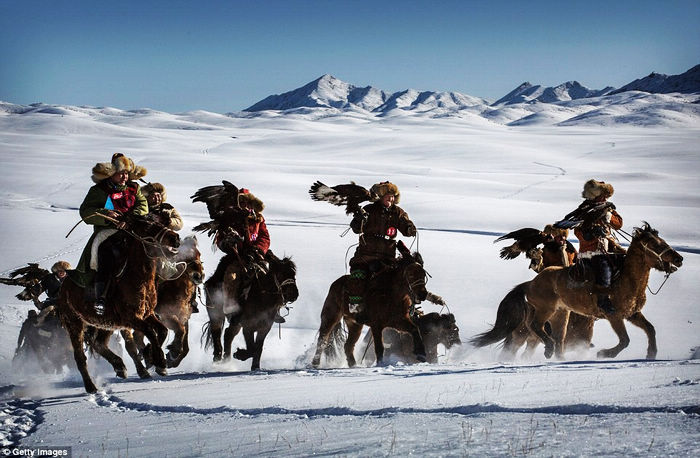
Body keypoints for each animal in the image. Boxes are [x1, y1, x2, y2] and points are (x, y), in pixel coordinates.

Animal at [56, 216, 180, 394]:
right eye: (149, 225)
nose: (176, 238)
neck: (136, 277)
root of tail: (63, 287)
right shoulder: (131, 318)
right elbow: (151, 331)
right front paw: (159, 362)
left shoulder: (146, 314)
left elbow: (161, 330)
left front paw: (151, 357)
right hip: (75, 324)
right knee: (80, 357)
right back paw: (91, 387)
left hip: (105, 323)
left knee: (99, 343)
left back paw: (120, 367)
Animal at [470, 223, 684, 362]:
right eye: (655, 244)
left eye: (662, 240)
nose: (679, 259)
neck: (624, 280)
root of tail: (530, 284)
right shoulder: (614, 316)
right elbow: (625, 340)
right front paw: (605, 354)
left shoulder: (632, 314)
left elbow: (650, 329)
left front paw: (651, 354)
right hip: (545, 312)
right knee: (535, 327)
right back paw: (549, 349)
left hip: (560, 314)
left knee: (555, 338)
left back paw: (557, 355)